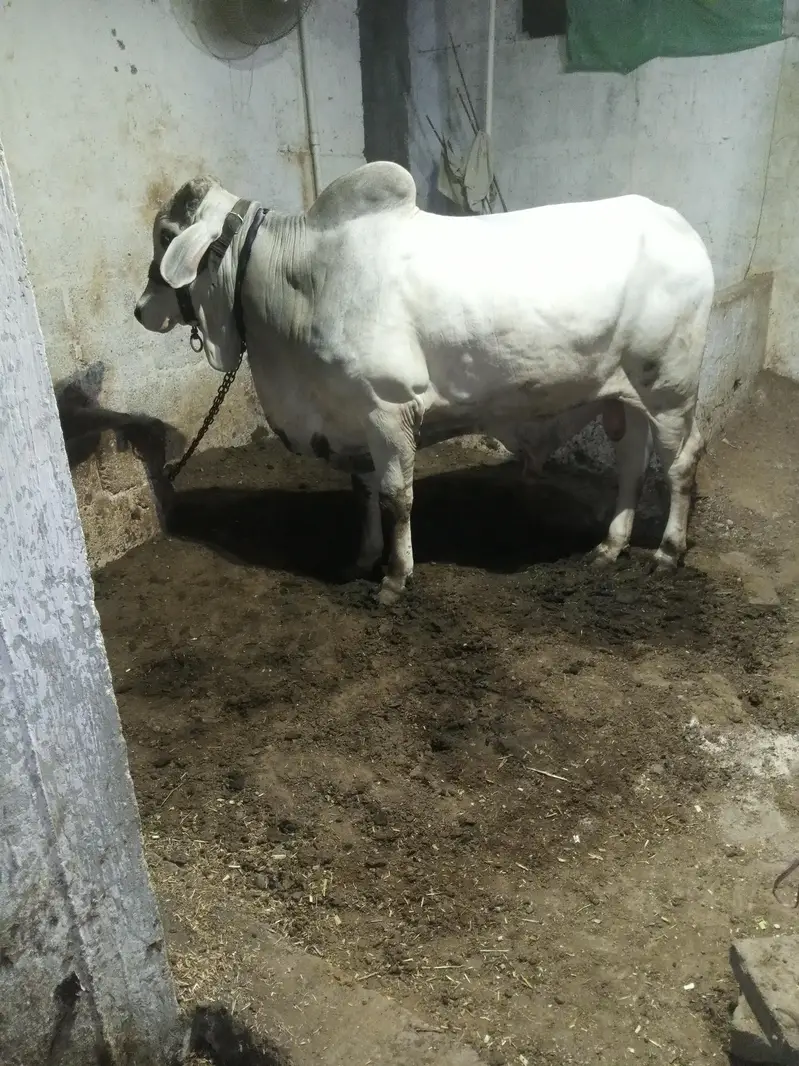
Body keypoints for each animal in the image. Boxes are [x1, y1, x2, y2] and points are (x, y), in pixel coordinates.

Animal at [134, 162, 714, 605]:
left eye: (165, 236)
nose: (140, 310)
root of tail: (681, 229)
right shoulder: (353, 422)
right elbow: (365, 492)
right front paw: (364, 558)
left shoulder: (387, 410)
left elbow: (397, 497)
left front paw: (395, 579)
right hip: (627, 395)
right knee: (632, 464)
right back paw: (610, 547)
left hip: (670, 389)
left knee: (682, 463)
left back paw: (667, 553)